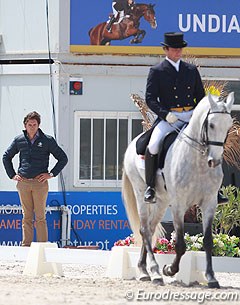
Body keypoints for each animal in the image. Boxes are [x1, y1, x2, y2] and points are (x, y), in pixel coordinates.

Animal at [122, 91, 234, 286]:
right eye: (211, 124)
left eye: (229, 126)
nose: (214, 161)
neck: (198, 162)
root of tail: (133, 143)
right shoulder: (179, 205)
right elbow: (180, 243)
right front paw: (169, 269)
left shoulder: (209, 203)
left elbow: (208, 241)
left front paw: (211, 277)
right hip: (141, 193)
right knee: (144, 230)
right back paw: (154, 272)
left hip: (162, 201)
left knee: (150, 229)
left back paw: (144, 269)